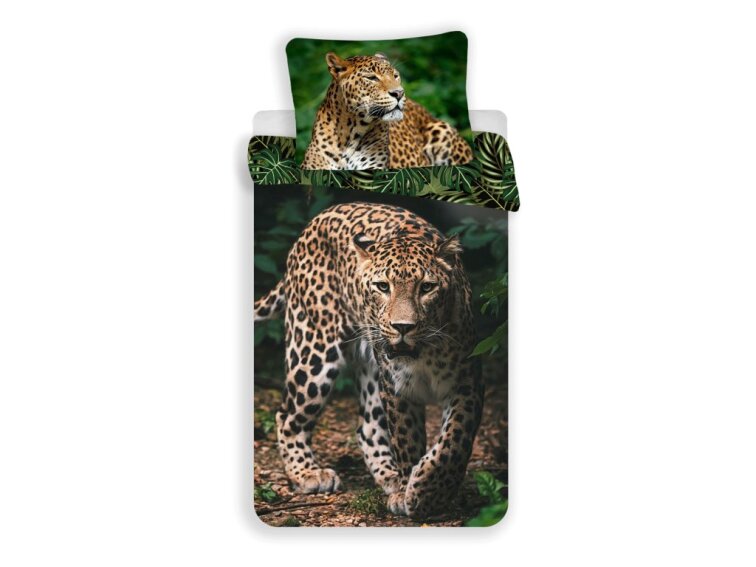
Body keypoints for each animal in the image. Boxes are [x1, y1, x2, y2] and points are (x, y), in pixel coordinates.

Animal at [254, 202, 484, 518]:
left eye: (427, 287)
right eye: (382, 286)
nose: (402, 327)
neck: (424, 353)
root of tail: (313, 222)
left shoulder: (467, 381)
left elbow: (454, 441)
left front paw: (428, 490)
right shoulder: (397, 389)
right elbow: (408, 441)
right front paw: (414, 493)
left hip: (371, 370)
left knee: (368, 427)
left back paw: (390, 477)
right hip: (314, 350)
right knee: (287, 415)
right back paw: (308, 473)